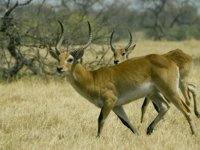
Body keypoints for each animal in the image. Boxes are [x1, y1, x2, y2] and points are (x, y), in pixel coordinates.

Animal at [55, 20, 196, 137]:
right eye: (59, 58)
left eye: (70, 59)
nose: (59, 69)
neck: (93, 78)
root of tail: (170, 61)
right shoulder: (117, 106)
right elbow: (128, 124)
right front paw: (139, 136)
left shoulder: (109, 102)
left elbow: (101, 120)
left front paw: (97, 139)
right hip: (153, 93)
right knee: (164, 107)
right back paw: (149, 130)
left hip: (170, 90)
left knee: (186, 109)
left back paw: (193, 134)